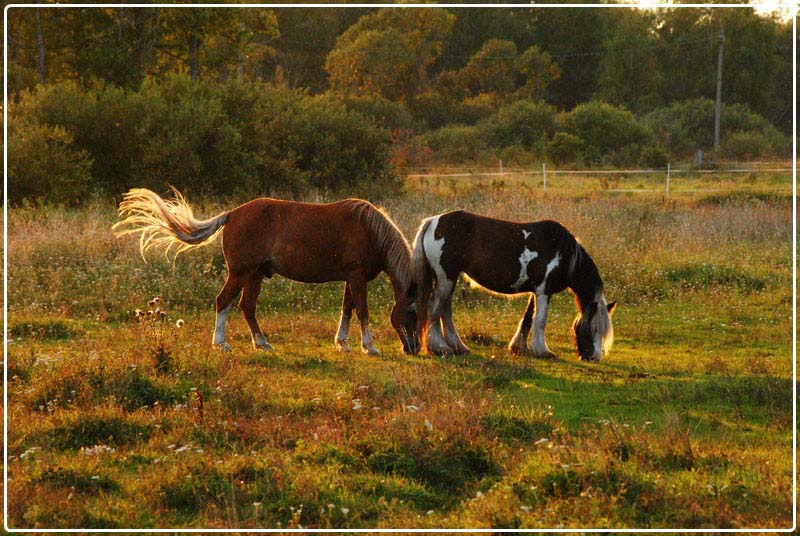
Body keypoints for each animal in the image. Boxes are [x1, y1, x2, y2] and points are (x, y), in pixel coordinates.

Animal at [117, 188, 424, 356]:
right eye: (412, 313)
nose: (413, 348)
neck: (369, 230)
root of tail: (231, 214)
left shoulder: (351, 278)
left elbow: (347, 309)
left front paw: (343, 343)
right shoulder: (357, 277)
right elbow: (362, 311)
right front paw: (369, 346)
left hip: (254, 275)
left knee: (247, 306)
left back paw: (261, 343)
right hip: (240, 273)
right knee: (223, 302)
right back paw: (221, 343)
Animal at [410, 209, 616, 360]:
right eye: (593, 328)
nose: (594, 357)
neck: (564, 253)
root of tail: (433, 221)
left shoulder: (536, 291)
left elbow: (528, 318)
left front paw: (519, 347)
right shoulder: (544, 291)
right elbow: (540, 320)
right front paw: (542, 351)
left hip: (448, 278)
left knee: (445, 311)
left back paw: (458, 346)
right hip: (446, 277)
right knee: (435, 309)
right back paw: (440, 347)